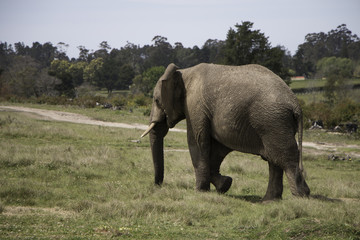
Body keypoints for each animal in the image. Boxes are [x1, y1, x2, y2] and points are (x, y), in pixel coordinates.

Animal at [141, 62, 310, 201]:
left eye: (156, 100)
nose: (157, 186)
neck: (184, 72)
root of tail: (296, 104)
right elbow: (217, 148)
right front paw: (225, 184)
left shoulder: (195, 106)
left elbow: (197, 142)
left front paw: (200, 192)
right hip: (274, 123)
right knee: (274, 159)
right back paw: (270, 201)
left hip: (272, 121)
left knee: (284, 158)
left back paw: (300, 198)